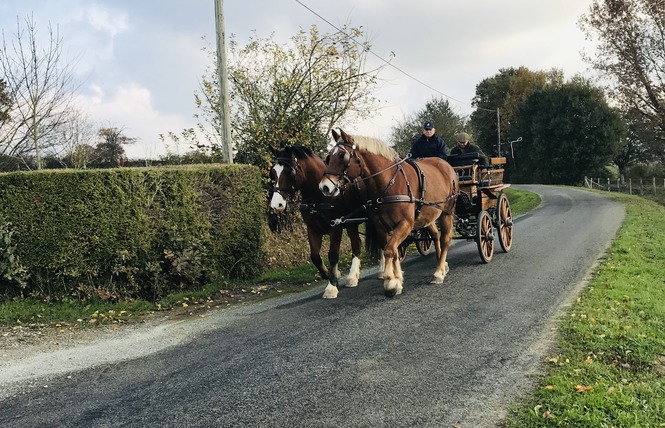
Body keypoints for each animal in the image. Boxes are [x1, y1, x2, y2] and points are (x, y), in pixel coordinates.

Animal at [268, 145, 366, 300]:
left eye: (290, 172)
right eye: (273, 173)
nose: (276, 205)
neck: (318, 196)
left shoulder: (335, 227)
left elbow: (333, 255)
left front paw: (331, 286)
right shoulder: (312, 228)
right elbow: (314, 256)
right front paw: (330, 274)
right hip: (351, 224)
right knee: (357, 244)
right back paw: (352, 277)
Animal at [318, 130, 456, 298]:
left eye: (341, 156)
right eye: (329, 157)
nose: (324, 187)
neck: (388, 182)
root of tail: (445, 165)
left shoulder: (405, 224)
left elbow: (390, 250)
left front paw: (390, 282)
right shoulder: (382, 226)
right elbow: (392, 250)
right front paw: (397, 281)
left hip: (447, 213)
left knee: (445, 239)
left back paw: (439, 272)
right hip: (428, 215)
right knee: (436, 236)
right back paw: (442, 264)